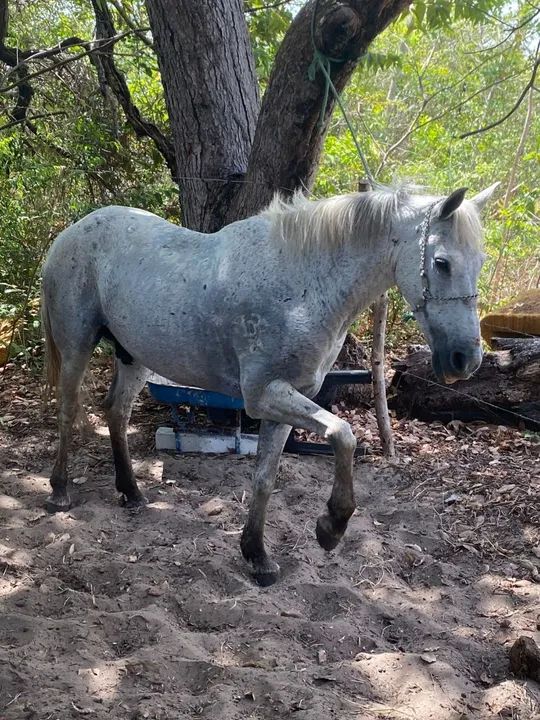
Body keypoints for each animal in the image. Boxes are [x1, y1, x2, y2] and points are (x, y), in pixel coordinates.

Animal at [41, 182, 498, 585]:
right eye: (442, 262)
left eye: (479, 261)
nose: (466, 359)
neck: (303, 285)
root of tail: (72, 232)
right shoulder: (265, 397)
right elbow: (344, 434)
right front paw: (331, 526)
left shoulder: (287, 401)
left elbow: (266, 477)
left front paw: (257, 556)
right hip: (77, 347)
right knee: (67, 412)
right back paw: (59, 492)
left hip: (133, 357)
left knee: (116, 413)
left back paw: (132, 492)